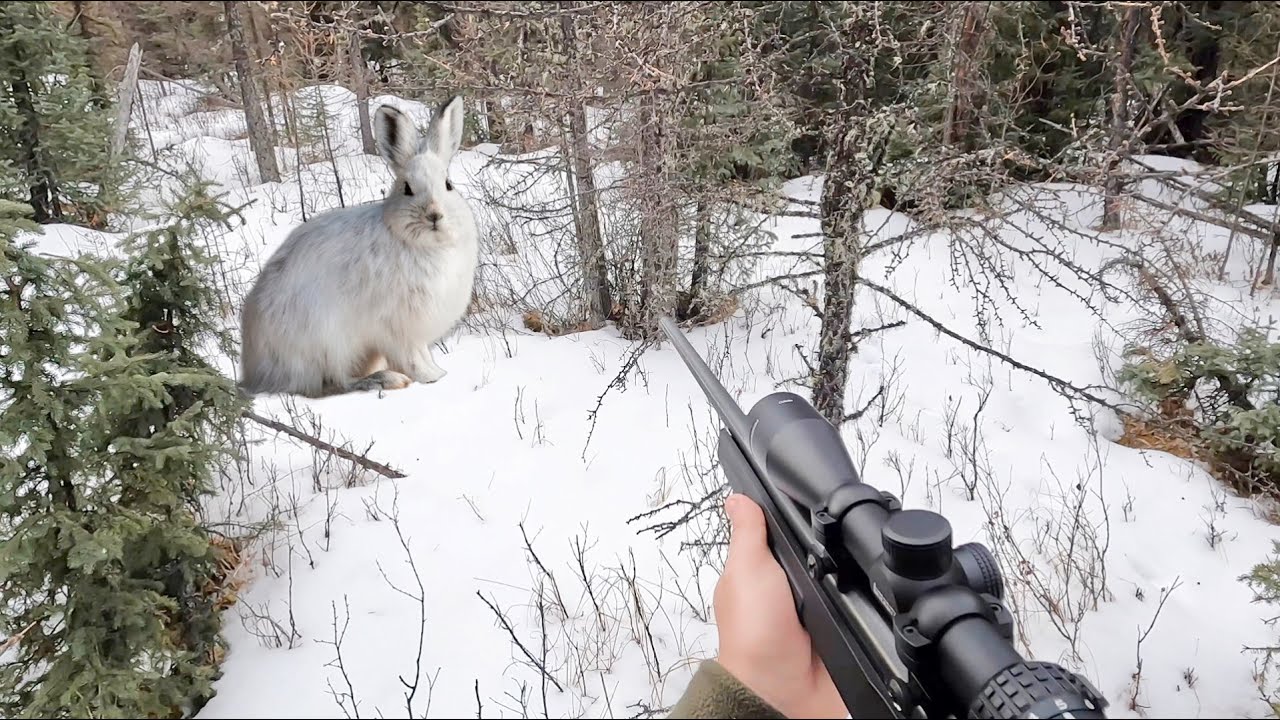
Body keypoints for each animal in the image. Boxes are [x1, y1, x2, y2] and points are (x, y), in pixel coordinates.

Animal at [238, 96, 479, 399]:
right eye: (407, 189)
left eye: (448, 185)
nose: (434, 215)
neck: (422, 244)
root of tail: (257, 376)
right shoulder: (396, 328)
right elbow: (411, 358)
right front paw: (431, 377)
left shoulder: (414, 334)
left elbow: (422, 354)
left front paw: (439, 372)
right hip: (327, 342)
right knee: (335, 382)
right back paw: (384, 380)